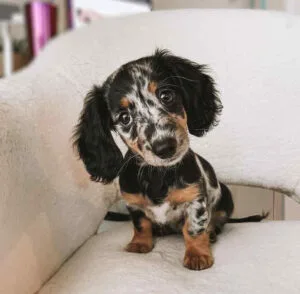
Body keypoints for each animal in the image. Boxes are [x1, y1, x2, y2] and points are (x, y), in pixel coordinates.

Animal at [74, 48, 266, 272]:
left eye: (166, 95)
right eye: (124, 118)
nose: (165, 147)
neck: (158, 175)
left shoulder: (195, 198)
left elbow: (193, 228)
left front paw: (197, 254)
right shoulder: (133, 204)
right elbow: (141, 225)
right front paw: (139, 243)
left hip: (226, 196)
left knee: (218, 220)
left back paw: (211, 232)